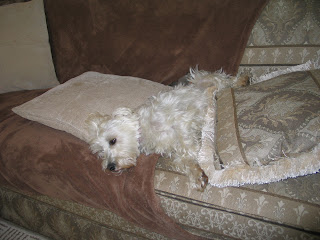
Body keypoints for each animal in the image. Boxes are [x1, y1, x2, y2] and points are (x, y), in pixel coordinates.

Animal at [85, 68, 248, 190]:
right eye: (101, 152)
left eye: (112, 141)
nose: (110, 167)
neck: (144, 131)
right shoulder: (173, 149)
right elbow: (183, 161)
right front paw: (197, 176)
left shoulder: (181, 123)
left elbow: (190, 148)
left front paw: (205, 160)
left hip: (207, 79)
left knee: (225, 79)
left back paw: (242, 80)